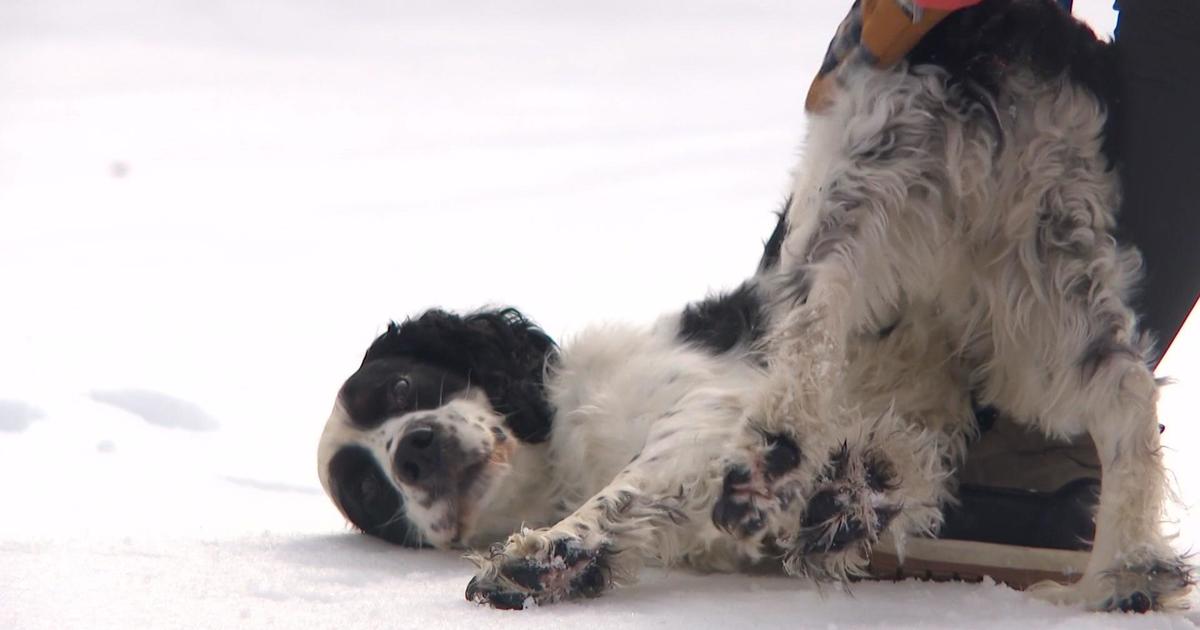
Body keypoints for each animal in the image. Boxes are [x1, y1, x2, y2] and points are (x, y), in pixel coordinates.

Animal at [316, 0, 1190, 612]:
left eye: (403, 389)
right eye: (371, 492)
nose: (412, 452)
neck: (562, 444)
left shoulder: (704, 398)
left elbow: (640, 481)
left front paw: (541, 555)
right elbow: (899, 459)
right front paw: (847, 499)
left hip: (864, 181)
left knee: (812, 328)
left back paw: (768, 462)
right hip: (1043, 262)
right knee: (1123, 395)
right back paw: (1125, 572)